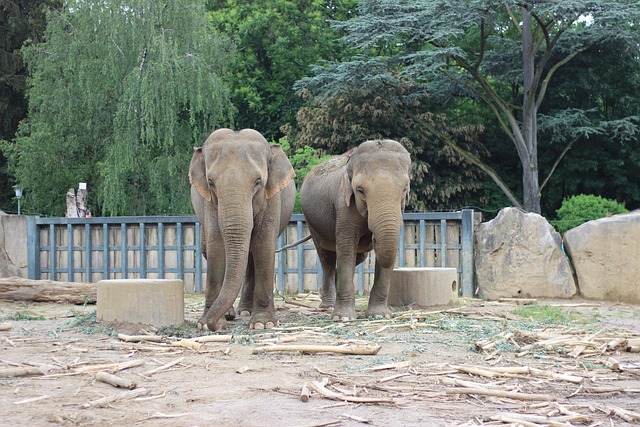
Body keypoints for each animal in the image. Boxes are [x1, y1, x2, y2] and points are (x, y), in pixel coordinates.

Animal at [186, 129, 294, 332]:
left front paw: (263, 323)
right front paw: (205, 324)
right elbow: (216, 246)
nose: (215, 326)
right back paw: (235, 313)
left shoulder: (271, 198)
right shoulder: (208, 203)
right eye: (211, 182)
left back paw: (246, 312)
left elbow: (264, 246)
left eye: (258, 182)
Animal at [298, 140, 410, 320]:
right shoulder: (343, 206)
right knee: (327, 258)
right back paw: (328, 306)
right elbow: (346, 250)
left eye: (405, 189)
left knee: (358, 256)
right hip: (312, 223)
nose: (372, 237)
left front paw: (380, 315)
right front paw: (343, 317)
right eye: (360, 190)